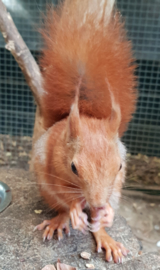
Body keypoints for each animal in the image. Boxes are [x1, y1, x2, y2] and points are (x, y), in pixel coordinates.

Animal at [31, 0, 137, 264]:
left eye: (119, 166)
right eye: (73, 168)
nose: (97, 203)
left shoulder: (115, 184)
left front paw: (105, 214)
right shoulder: (52, 166)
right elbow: (67, 197)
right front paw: (76, 211)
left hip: (115, 194)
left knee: (98, 224)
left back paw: (105, 235)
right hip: (45, 189)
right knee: (60, 208)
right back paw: (62, 220)